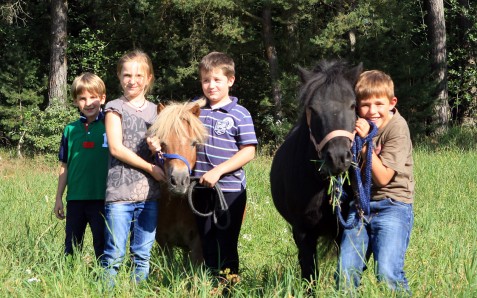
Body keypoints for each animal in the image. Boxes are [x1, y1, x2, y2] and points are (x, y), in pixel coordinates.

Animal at [268, 59, 360, 280]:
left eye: (353, 105)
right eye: (313, 108)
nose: (338, 158)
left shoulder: (342, 229)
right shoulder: (302, 231)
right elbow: (309, 271)